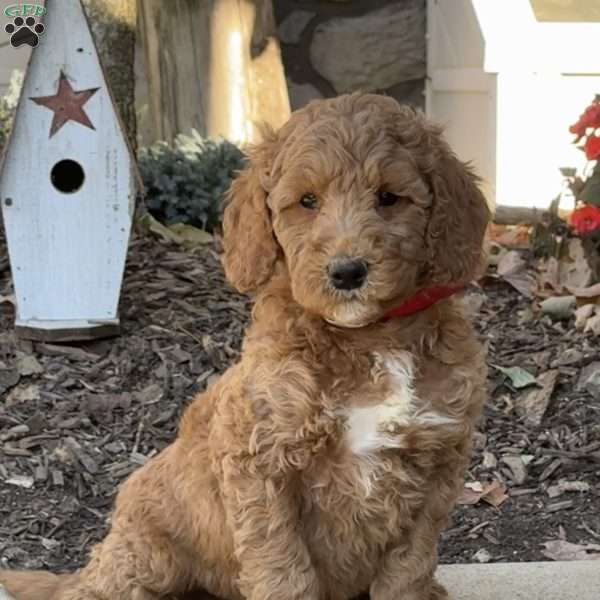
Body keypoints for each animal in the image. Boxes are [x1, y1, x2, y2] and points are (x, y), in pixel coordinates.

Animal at [0, 90, 490, 600]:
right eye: (307, 201)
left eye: (389, 198)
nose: (347, 272)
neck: (369, 336)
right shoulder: (260, 462)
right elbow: (283, 569)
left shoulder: (437, 461)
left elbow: (408, 567)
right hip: (147, 550)